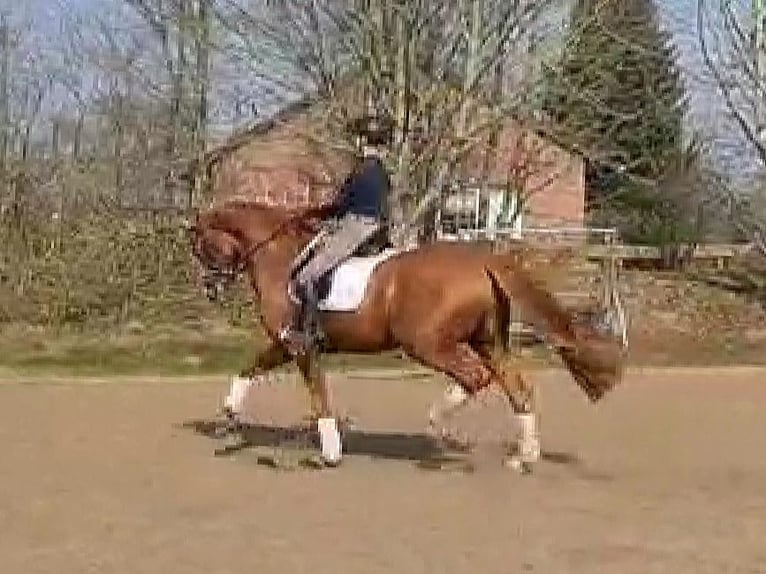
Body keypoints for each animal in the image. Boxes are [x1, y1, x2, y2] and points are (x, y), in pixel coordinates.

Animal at [188, 201, 632, 472]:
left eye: (201, 246)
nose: (209, 288)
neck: (282, 260)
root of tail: (482, 260)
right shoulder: (285, 344)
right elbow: (250, 369)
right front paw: (230, 416)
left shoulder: (296, 344)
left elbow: (317, 393)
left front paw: (330, 452)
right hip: (488, 343)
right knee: (516, 388)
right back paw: (524, 457)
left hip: (429, 344)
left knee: (474, 378)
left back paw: (441, 432)